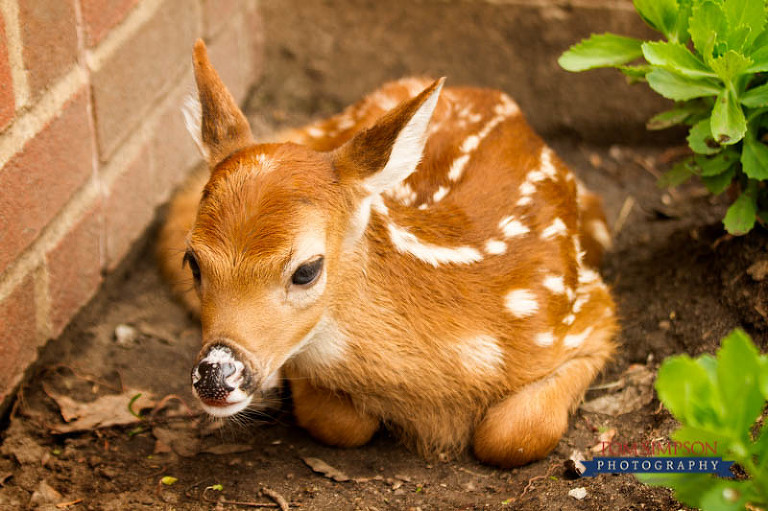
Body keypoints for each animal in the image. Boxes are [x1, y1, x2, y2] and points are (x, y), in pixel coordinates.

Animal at [159, 41, 616, 468]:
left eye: (306, 270)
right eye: (193, 261)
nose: (216, 375)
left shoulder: (588, 310)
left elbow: (514, 434)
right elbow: (339, 421)